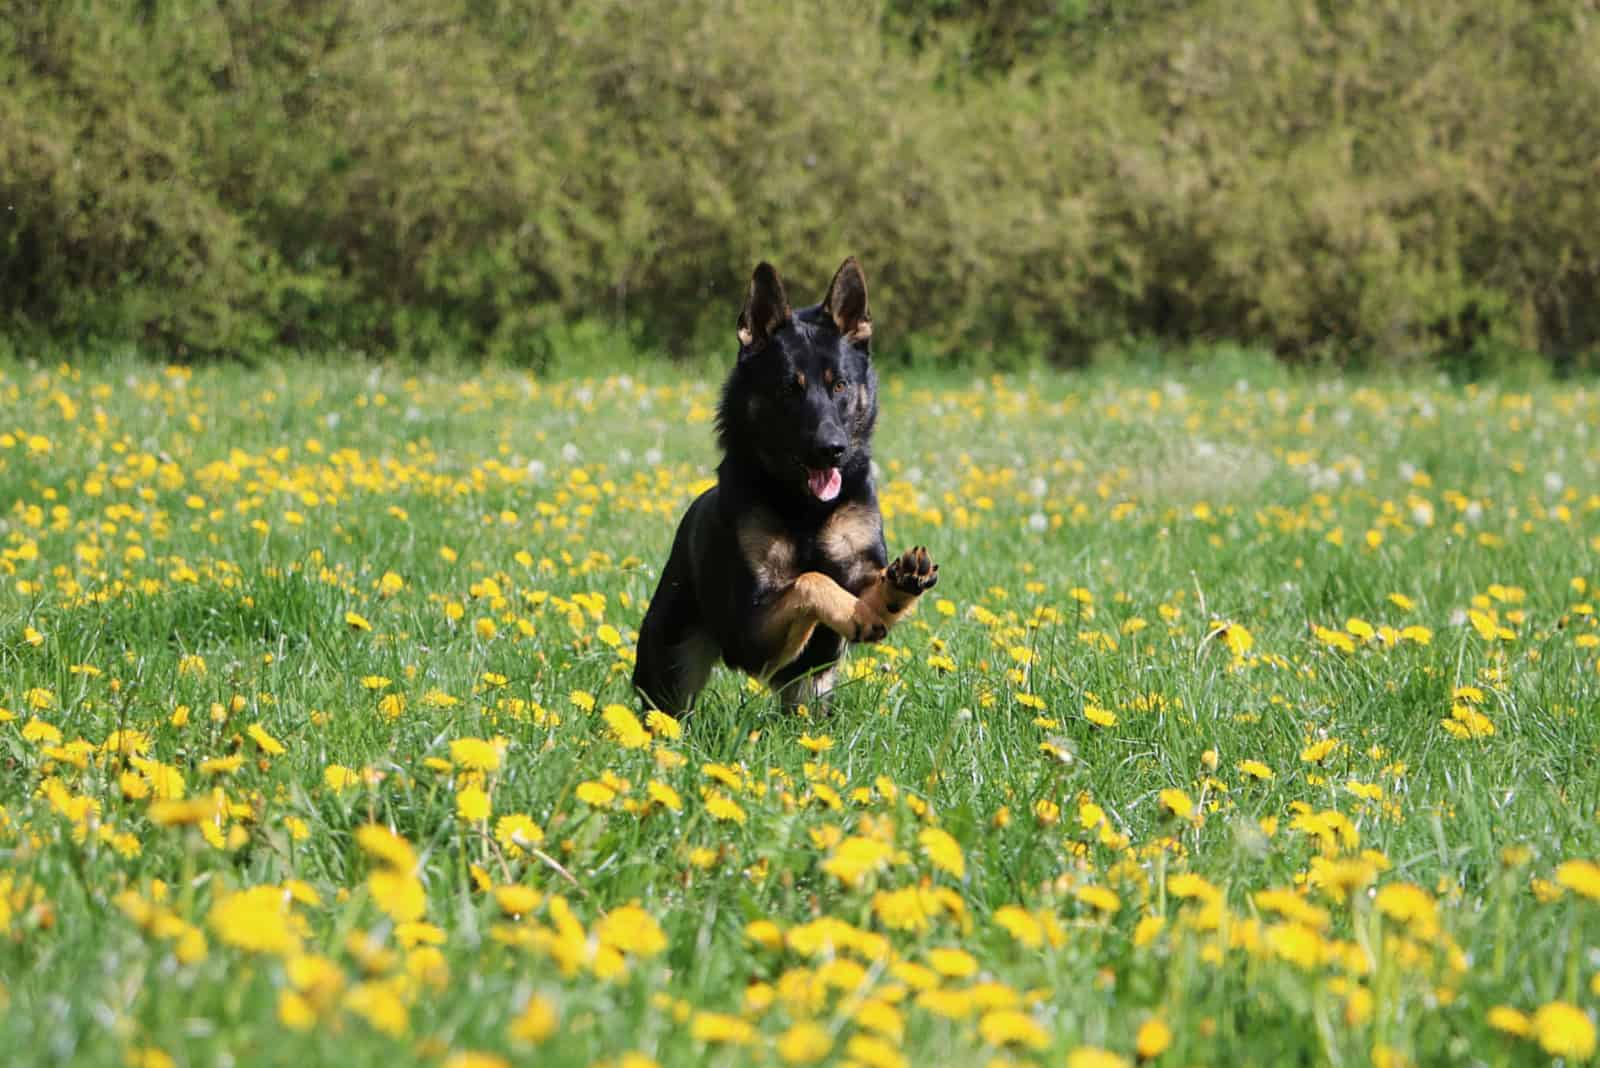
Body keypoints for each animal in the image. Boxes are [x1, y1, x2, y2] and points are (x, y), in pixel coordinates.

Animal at [630, 254, 934, 713]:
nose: (832, 449)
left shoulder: (858, 568)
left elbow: (863, 585)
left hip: (811, 692)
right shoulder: (750, 632)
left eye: (839, 385)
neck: (805, 508)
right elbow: (811, 581)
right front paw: (855, 612)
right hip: (672, 671)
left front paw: (894, 589)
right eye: (790, 389)